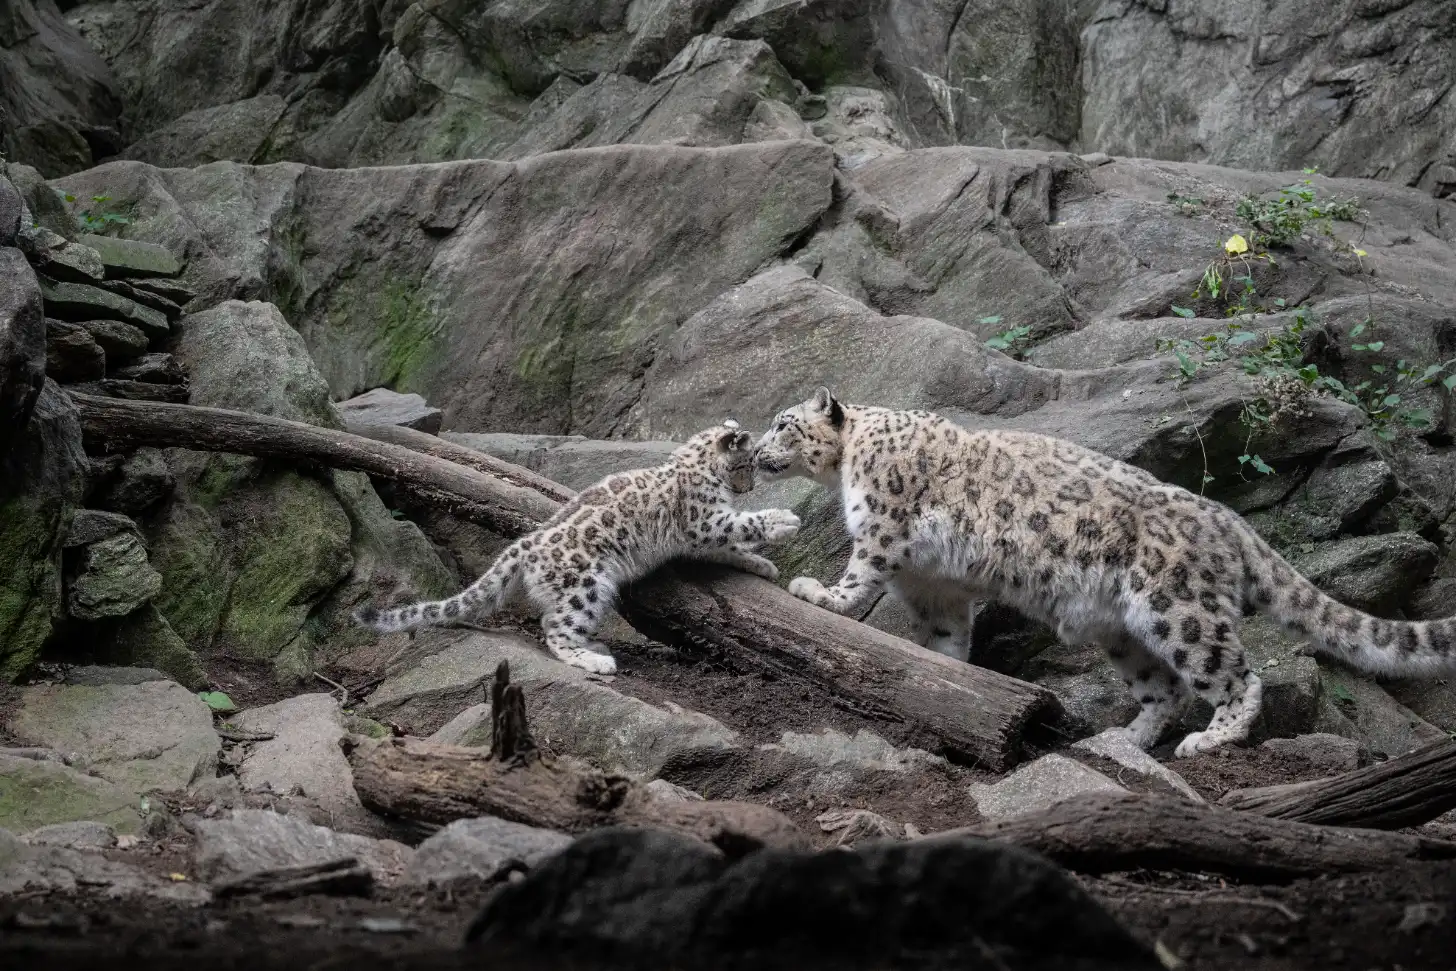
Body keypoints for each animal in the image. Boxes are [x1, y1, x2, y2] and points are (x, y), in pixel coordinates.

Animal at [355, 421, 801, 675]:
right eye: (748, 462)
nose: (748, 486)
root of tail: (526, 544)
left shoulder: (703, 532)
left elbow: (730, 546)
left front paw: (762, 565)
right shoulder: (702, 521)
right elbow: (739, 524)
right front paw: (783, 521)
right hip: (585, 586)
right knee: (554, 627)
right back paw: (596, 659)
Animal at [753, 387, 1456, 758]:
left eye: (783, 424)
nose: (755, 450)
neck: (848, 467)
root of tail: (1230, 520)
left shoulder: (885, 527)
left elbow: (858, 577)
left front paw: (819, 593)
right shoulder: (936, 584)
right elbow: (948, 633)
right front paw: (946, 674)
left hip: (1181, 610)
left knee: (1236, 676)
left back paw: (1210, 740)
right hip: (1125, 630)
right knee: (1162, 688)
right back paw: (1126, 738)